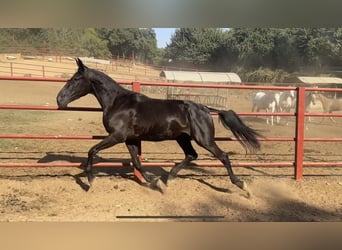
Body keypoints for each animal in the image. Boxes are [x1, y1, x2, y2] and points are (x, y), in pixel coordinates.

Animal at [56, 58, 262, 193]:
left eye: (75, 79)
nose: (59, 99)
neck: (118, 102)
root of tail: (204, 108)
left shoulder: (117, 136)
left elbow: (92, 151)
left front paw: (90, 181)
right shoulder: (130, 140)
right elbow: (137, 162)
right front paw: (155, 182)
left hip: (204, 139)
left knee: (223, 156)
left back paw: (242, 186)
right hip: (183, 138)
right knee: (191, 155)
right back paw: (168, 178)